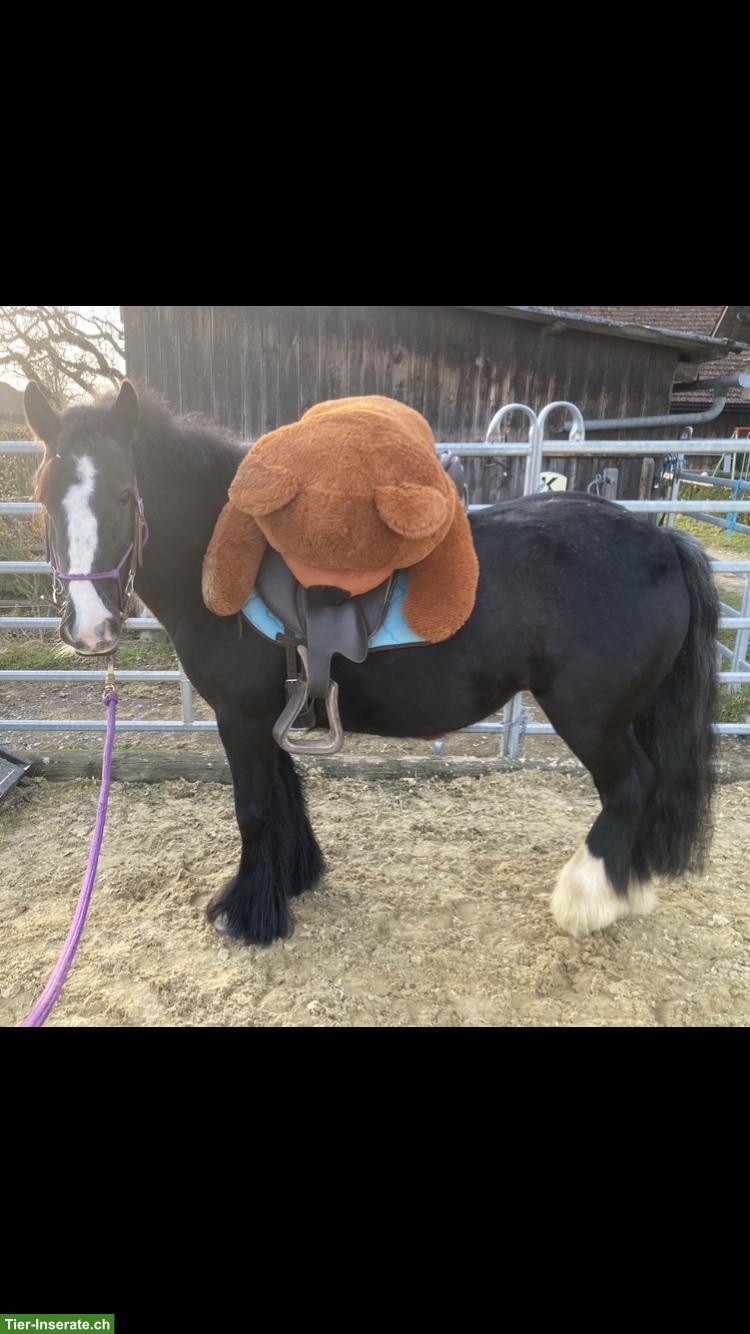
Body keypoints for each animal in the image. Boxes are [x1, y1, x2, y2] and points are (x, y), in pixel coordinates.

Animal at [24, 379, 719, 943]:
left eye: (123, 494)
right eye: (43, 497)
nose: (90, 628)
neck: (223, 566)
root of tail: (663, 539)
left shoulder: (240, 718)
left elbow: (254, 808)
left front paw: (247, 916)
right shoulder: (270, 716)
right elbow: (285, 796)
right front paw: (293, 881)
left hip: (590, 717)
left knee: (631, 786)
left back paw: (586, 901)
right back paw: (630, 888)